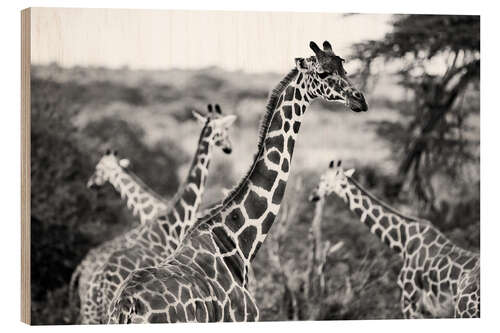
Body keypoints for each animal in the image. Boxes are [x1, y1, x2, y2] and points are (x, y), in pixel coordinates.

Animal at [106, 40, 368, 322]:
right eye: (322, 73)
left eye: (344, 69)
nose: (360, 100)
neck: (239, 244)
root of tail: (126, 308)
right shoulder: (246, 317)